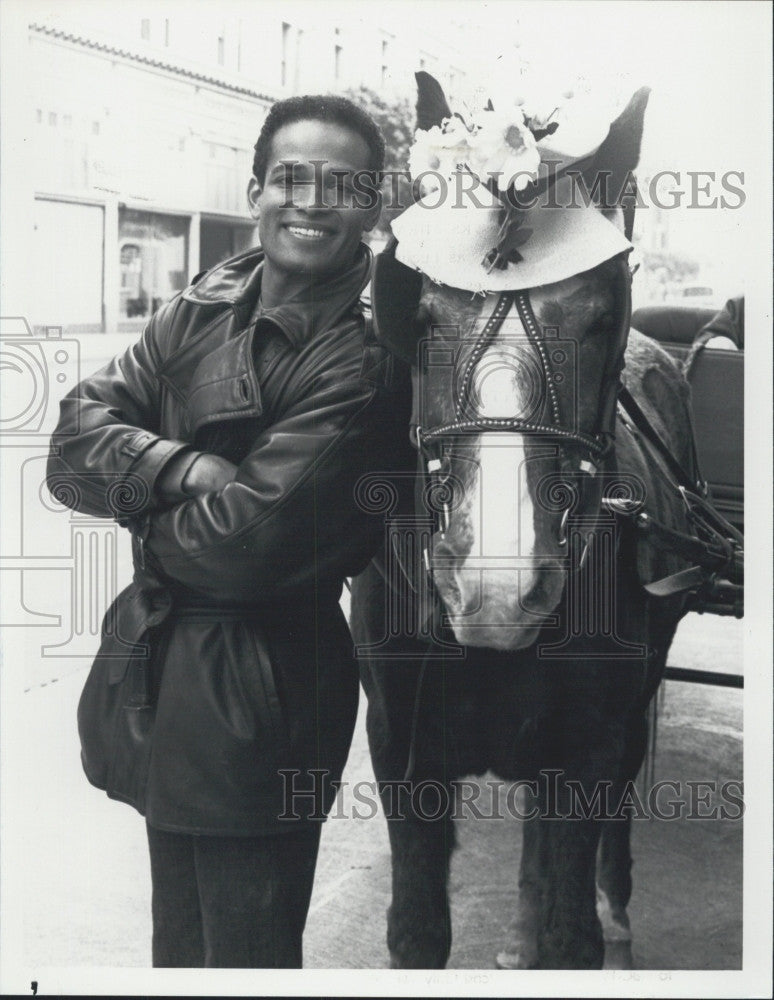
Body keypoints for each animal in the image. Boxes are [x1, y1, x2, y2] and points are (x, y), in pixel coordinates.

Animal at [352, 72, 696, 968]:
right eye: (421, 315)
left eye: (604, 316)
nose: (496, 592)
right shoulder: (403, 753)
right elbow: (417, 929)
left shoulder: (588, 750)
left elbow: (573, 930)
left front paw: (576, 919)